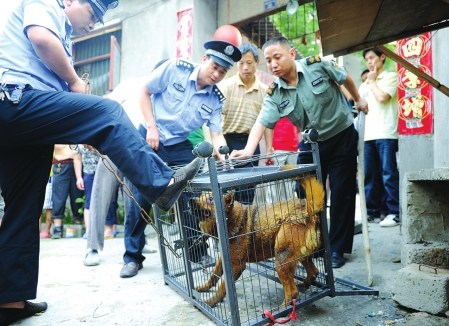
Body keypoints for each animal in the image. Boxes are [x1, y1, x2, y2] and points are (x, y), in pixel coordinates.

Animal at [187, 174, 324, 306]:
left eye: (210, 199)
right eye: (200, 196)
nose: (190, 200)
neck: (228, 219)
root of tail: (309, 211)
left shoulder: (236, 266)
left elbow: (222, 287)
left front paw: (211, 301)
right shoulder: (223, 260)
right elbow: (213, 276)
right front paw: (204, 288)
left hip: (281, 258)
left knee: (292, 292)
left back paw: (280, 310)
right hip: (299, 255)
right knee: (313, 272)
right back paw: (304, 286)